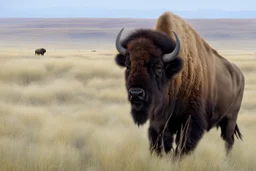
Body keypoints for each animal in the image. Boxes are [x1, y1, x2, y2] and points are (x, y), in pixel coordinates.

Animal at [113, 11, 244, 158]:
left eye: (158, 67)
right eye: (128, 65)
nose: (136, 93)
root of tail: (239, 74)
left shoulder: (189, 121)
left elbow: (182, 146)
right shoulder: (159, 121)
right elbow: (161, 143)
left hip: (230, 118)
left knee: (228, 140)